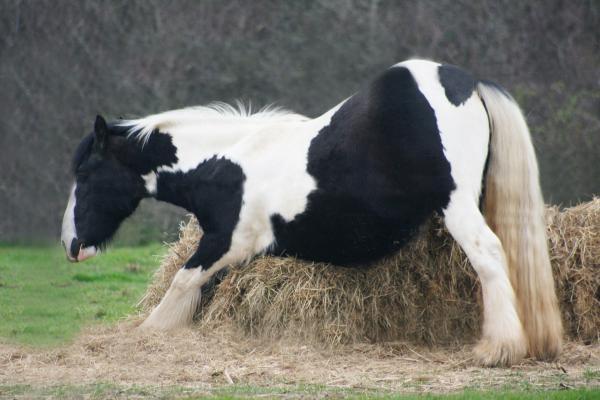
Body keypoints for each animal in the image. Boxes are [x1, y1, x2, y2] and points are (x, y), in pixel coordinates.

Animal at [61, 57, 564, 368]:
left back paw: (499, 348)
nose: (71, 245)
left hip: (458, 207)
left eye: (84, 173)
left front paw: (148, 336)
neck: (225, 164)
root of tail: (465, 82)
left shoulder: (227, 242)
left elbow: (181, 283)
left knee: (490, 255)